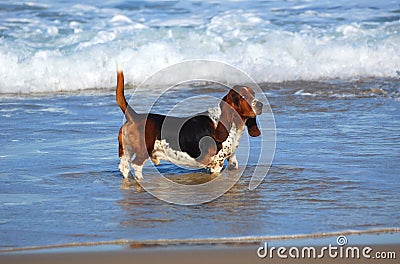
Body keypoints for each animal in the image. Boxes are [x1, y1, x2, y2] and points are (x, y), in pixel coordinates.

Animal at [116, 67, 262, 180]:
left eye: (253, 93)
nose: (260, 104)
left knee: (124, 168)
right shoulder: (216, 164)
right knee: (136, 165)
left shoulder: (231, 159)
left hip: (126, 151)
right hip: (143, 151)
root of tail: (135, 116)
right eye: (243, 97)